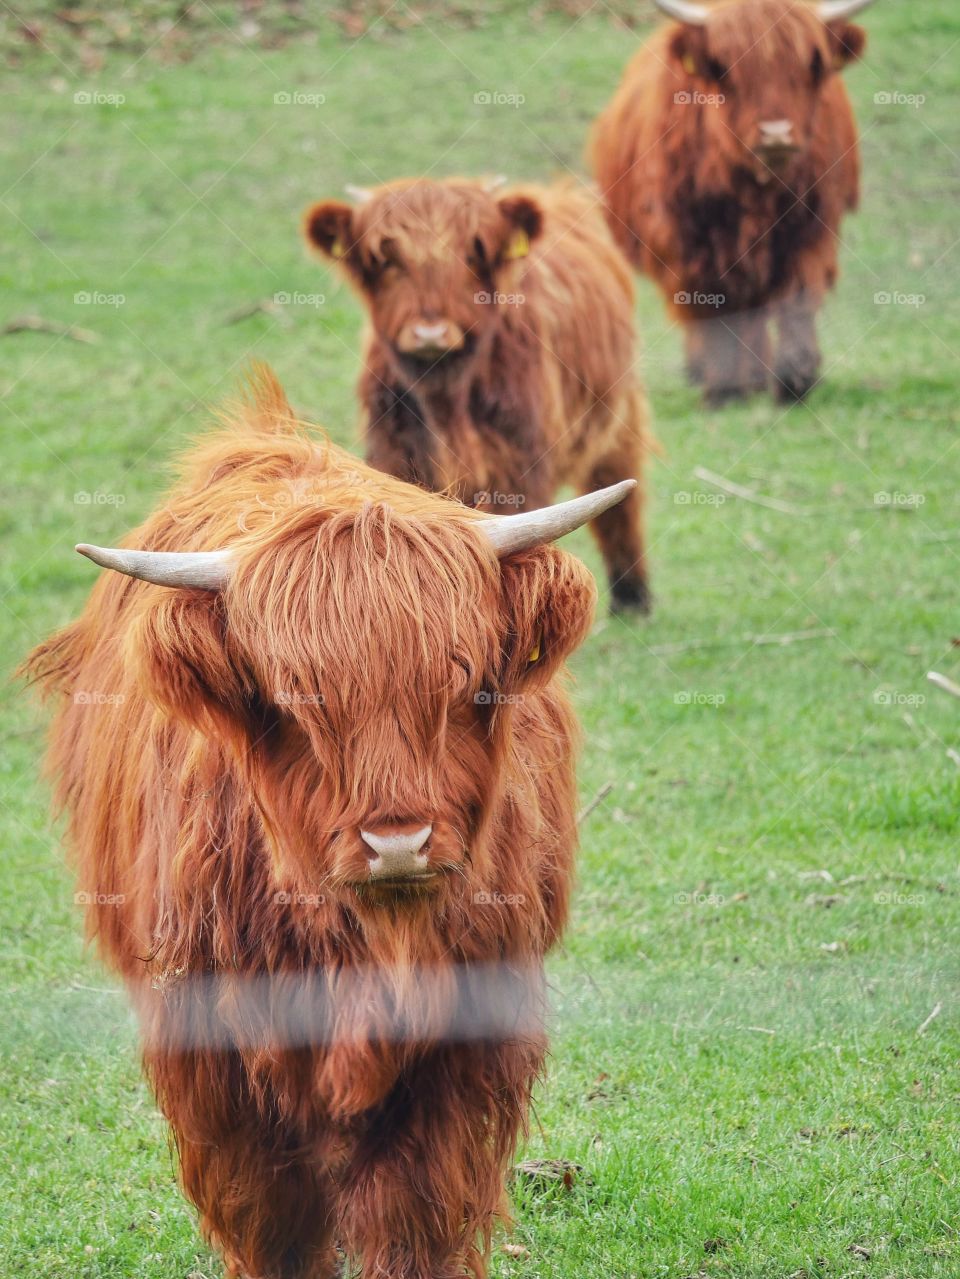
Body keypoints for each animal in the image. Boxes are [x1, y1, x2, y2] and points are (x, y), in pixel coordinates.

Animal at [22, 373, 634, 1279]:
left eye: (469, 689)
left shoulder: (464, 1039)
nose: (398, 843)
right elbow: (271, 1213)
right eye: (296, 702)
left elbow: (408, 1208)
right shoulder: (214, 1052)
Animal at [304, 179, 659, 613]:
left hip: (617, 416)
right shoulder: (393, 452)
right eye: (388, 260)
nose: (430, 333)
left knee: (620, 492)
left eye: (471, 254)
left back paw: (632, 599)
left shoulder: (513, 465)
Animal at [590, 0, 874, 404]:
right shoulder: (690, 243)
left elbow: (797, 298)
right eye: (727, 67)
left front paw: (795, 380)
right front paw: (723, 388)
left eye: (812, 64)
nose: (776, 134)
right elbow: (713, 307)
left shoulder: (812, 229)